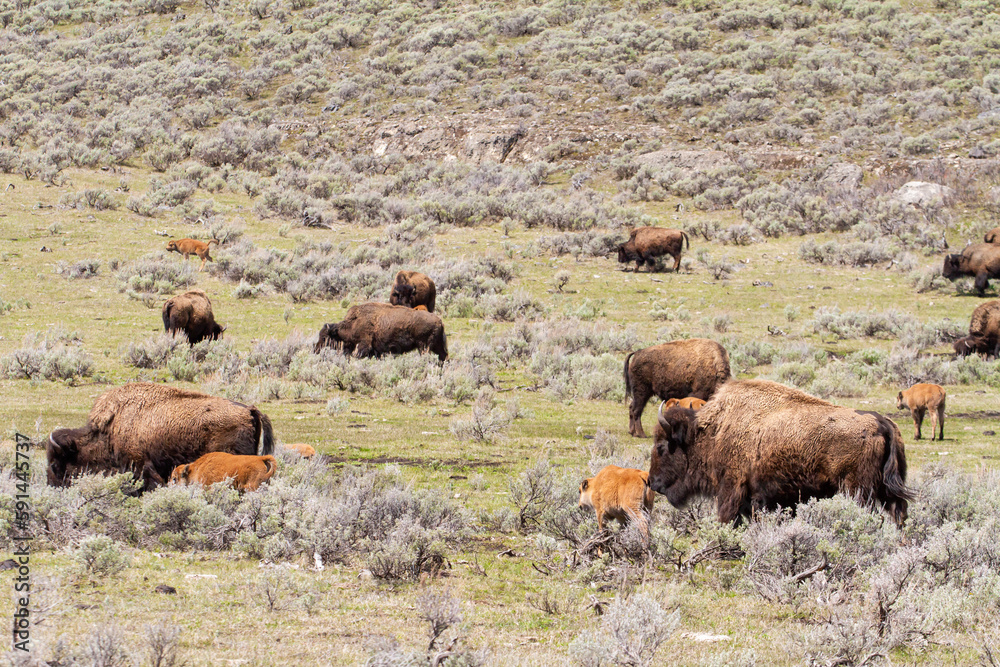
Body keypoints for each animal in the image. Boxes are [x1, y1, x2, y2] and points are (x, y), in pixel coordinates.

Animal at [314, 304, 448, 362]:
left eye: (325, 337)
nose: (316, 349)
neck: (354, 323)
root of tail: (439, 321)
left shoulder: (364, 344)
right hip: (436, 346)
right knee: (444, 356)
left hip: (424, 347)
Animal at [648, 380, 916, 528]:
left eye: (662, 447)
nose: (652, 482)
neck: (713, 431)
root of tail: (882, 423)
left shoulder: (732, 489)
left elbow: (729, 517)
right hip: (887, 490)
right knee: (899, 514)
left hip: (858, 491)